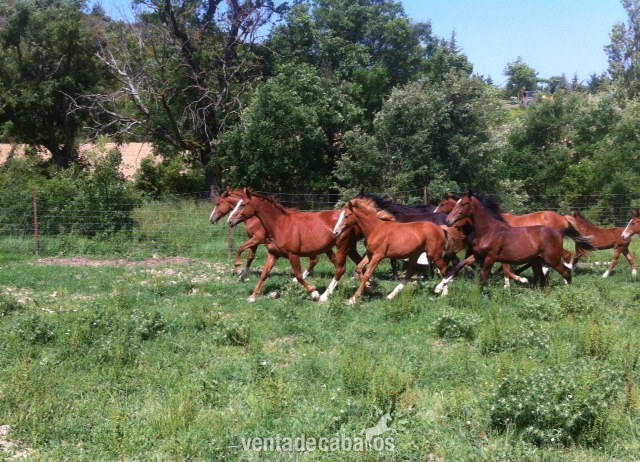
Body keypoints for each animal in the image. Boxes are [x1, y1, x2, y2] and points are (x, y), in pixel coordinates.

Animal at [226, 189, 362, 302]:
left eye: (242, 204)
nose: (230, 221)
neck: (280, 225)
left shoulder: (293, 255)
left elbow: (299, 276)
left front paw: (314, 293)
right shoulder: (273, 254)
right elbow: (264, 274)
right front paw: (253, 296)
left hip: (343, 246)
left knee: (341, 269)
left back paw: (325, 296)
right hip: (349, 248)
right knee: (360, 264)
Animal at [332, 197, 465, 304]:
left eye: (346, 215)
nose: (336, 232)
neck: (376, 229)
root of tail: (440, 228)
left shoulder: (378, 256)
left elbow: (367, 274)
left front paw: (353, 298)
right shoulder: (370, 254)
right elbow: (360, 268)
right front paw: (369, 288)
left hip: (434, 254)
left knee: (444, 269)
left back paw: (443, 293)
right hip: (415, 255)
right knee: (409, 274)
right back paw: (391, 296)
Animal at [440, 193, 580, 291]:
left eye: (463, 204)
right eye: (456, 204)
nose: (448, 221)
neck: (488, 231)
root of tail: (559, 232)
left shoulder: (490, 257)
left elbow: (484, 277)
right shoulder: (478, 255)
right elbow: (459, 265)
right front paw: (440, 286)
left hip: (552, 259)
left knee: (566, 271)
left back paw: (568, 292)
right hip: (537, 260)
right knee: (541, 277)